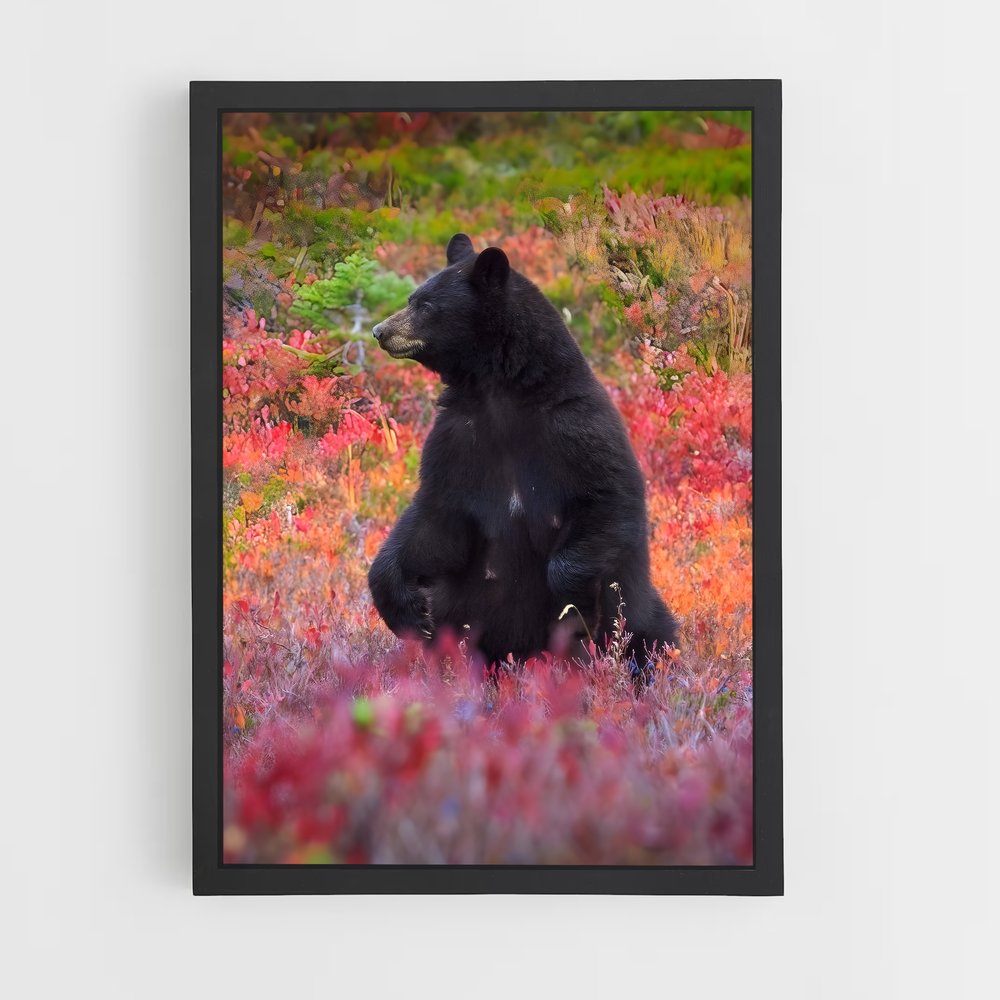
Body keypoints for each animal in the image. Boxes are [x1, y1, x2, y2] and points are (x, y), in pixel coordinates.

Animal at [368, 233, 677, 674]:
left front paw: (576, 608)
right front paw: (406, 607)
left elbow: (607, 500)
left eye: (425, 305)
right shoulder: (458, 440)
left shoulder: (577, 430)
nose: (380, 330)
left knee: (649, 634)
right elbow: (434, 518)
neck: (500, 395)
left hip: (643, 612)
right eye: (412, 297)